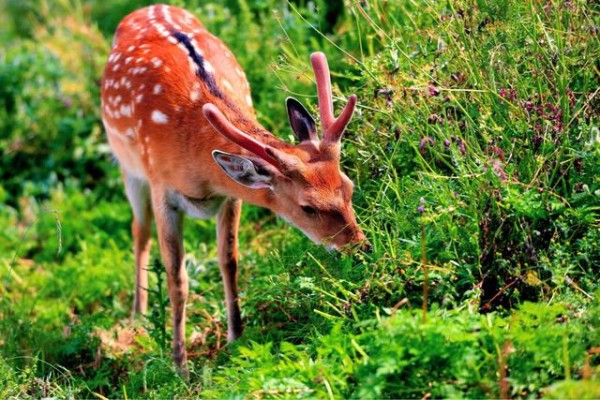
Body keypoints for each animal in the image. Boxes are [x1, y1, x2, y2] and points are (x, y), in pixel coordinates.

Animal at [101, 3, 368, 372]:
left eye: (349, 187)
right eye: (308, 207)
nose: (359, 246)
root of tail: (147, 7)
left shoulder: (229, 197)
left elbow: (229, 259)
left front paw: (236, 337)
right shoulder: (161, 187)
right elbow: (177, 278)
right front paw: (179, 364)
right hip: (128, 167)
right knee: (139, 230)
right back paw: (138, 316)